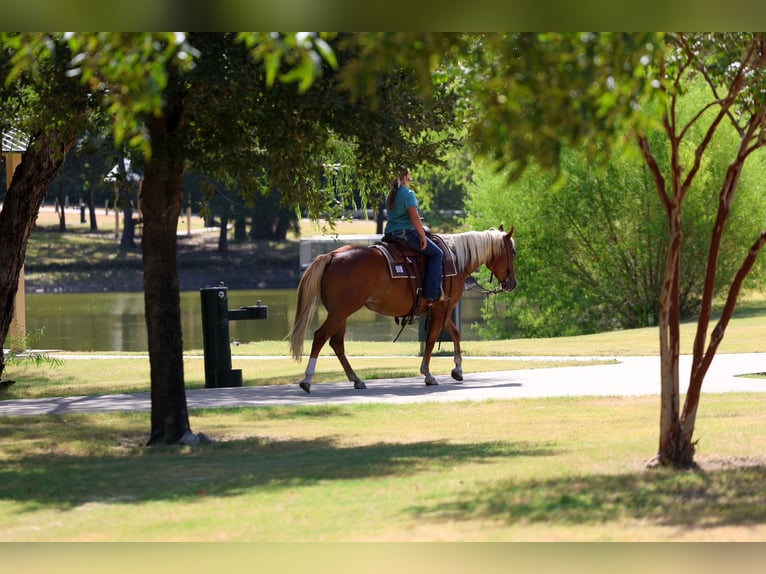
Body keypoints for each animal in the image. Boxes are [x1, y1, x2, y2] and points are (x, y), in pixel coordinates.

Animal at [288, 226, 517, 393]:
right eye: (513, 252)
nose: (513, 283)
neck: (456, 259)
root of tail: (332, 256)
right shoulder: (442, 308)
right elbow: (432, 340)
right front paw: (428, 374)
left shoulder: (442, 309)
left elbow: (455, 333)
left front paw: (458, 369)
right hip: (340, 312)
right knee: (320, 336)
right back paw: (307, 380)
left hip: (341, 313)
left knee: (337, 343)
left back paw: (356, 379)